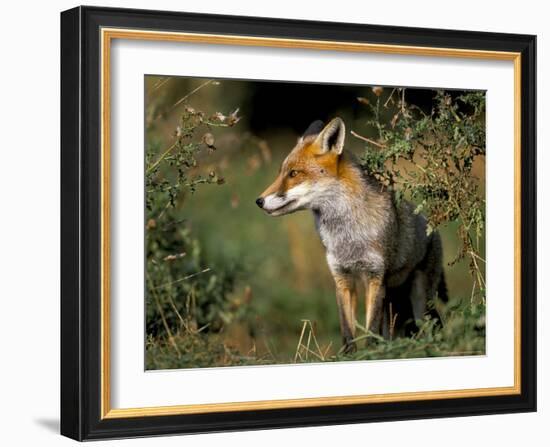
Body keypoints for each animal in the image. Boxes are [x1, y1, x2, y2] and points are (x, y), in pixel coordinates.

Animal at [258, 118, 448, 354]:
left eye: (293, 174)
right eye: (281, 172)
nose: (259, 201)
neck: (348, 238)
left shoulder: (375, 277)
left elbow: (371, 329)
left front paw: (371, 354)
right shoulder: (342, 278)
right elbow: (347, 330)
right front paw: (349, 356)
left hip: (420, 300)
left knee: (430, 326)